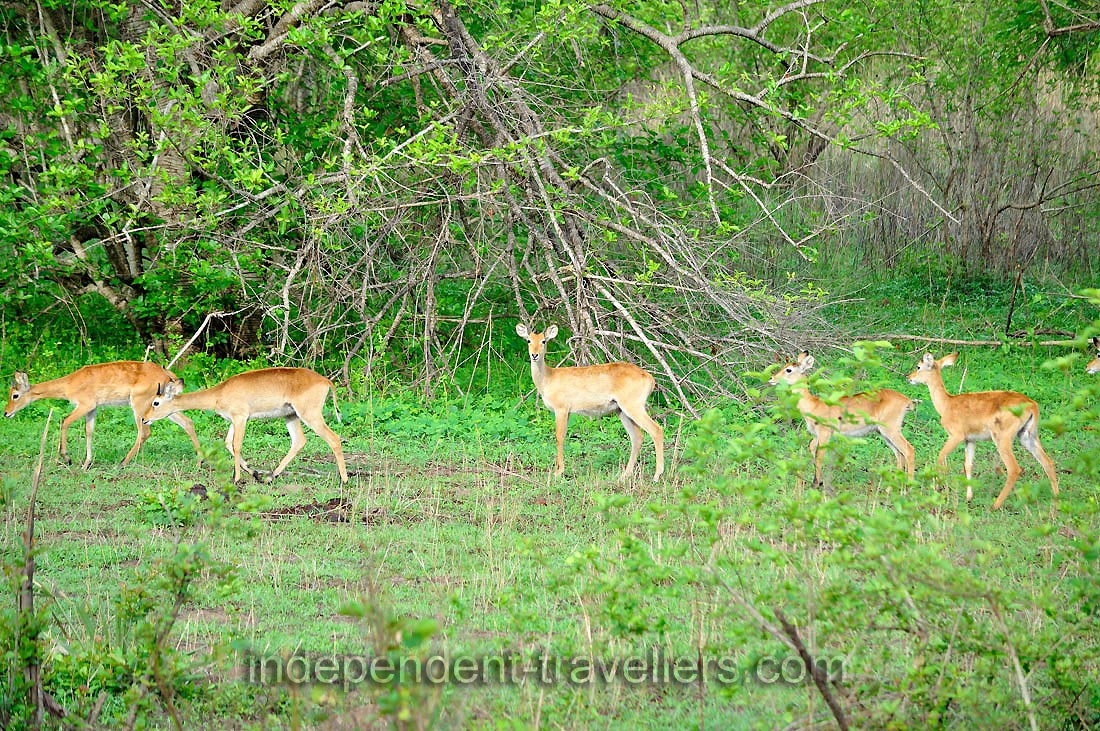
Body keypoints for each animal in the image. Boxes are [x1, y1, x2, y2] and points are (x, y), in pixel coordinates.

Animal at [5, 361, 202, 469]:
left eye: (15, 395)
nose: (6, 413)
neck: (70, 384)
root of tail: (167, 374)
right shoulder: (93, 409)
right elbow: (89, 431)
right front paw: (86, 463)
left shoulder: (85, 405)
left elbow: (65, 422)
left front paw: (67, 458)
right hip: (163, 408)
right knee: (188, 422)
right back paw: (200, 461)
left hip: (139, 405)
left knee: (144, 432)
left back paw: (122, 463)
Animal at [141, 367, 348, 484]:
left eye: (156, 402)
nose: (144, 419)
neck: (219, 393)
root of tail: (325, 381)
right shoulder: (235, 420)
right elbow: (227, 443)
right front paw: (254, 473)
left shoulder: (240, 417)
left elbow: (236, 445)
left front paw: (237, 478)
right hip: (291, 416)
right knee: (299, 441)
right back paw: (270, 477)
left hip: (310, 415)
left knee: (334, 438)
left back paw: (344, 480)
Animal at [515, 324, 664, 482]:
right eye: (529, 340)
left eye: (543, 341)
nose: (534, 355)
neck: (548, 378)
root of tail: (650, 378)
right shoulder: (567, 412)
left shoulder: (561, 409)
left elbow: (559, 437)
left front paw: (558, 472)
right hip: (621, 410)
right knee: (637, 437)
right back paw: (624, 475)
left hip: (633, 406)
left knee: (656, 430)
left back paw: (657, 475)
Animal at [769, 352, 916, 487]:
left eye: (788, 369)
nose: (771, 378)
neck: (814, 405)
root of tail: (907, 400)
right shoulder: (816, 435)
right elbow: (812, 449)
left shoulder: (825, 434)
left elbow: (819, 456)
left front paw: (817, 484)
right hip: (883, 433)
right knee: (899, 455)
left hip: (891, 430)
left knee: (909, 450)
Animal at [907, 352, 1059, 509]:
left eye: (919, 366)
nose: (909, 377)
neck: (947, 404)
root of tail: (1032, 405)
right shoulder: (970, 439)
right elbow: (968, 465)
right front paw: (968, 497)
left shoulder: (956, 435)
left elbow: (941, 456)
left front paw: (939, 490)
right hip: (1027, 435)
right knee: (1048, 462)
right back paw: (1056, 501)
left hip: (1002, 438)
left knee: (1014, 469)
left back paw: (995, 505)